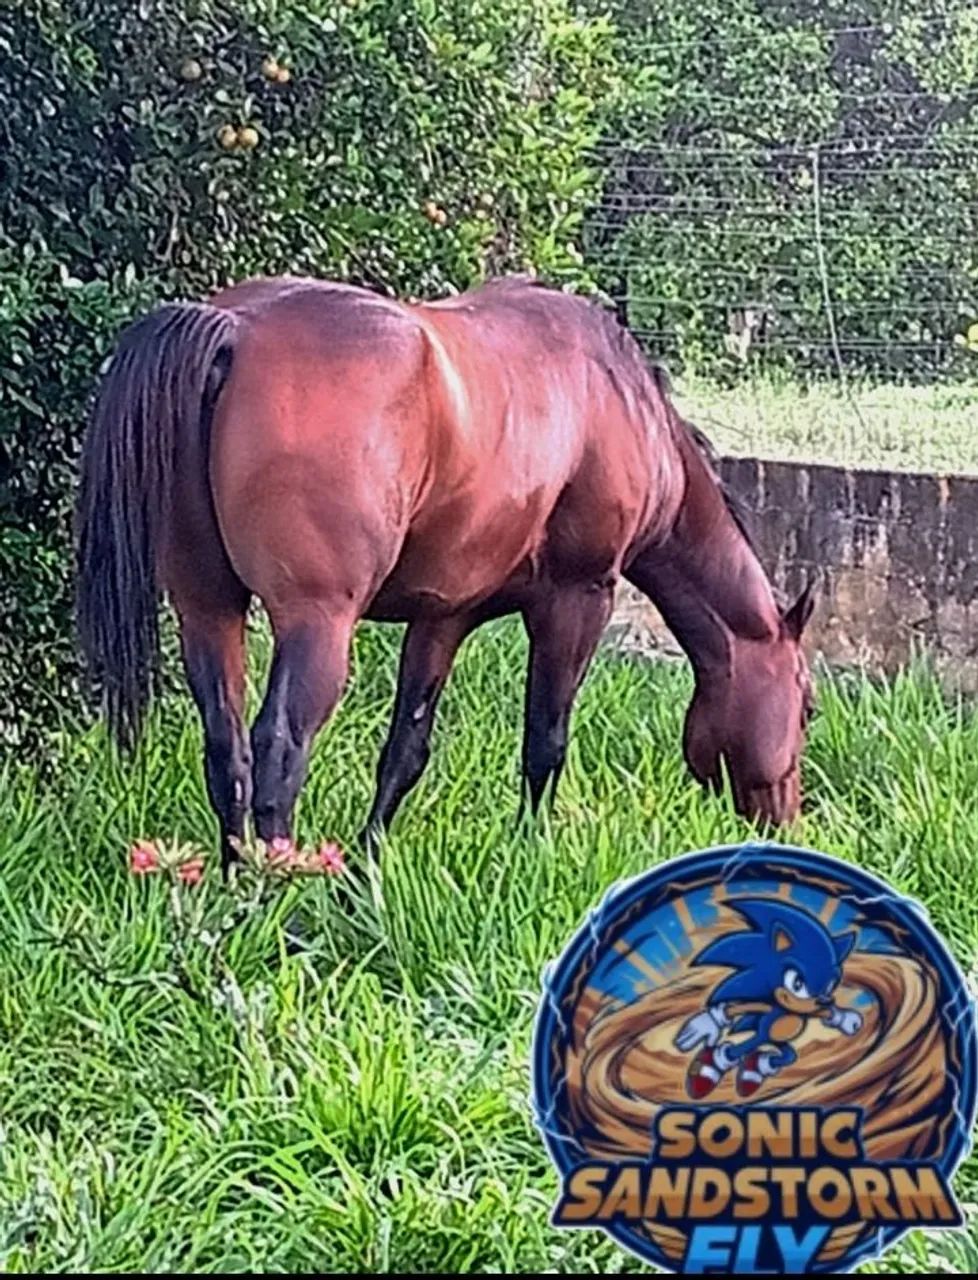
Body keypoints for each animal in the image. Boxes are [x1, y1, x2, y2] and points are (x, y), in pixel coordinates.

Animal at [76, 275, 816, 873]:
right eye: (807, 705)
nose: (785, 822)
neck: (618, 400)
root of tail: (236, 328)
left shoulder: (443, 615)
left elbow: (406, 750)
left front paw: (367, 871)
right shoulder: (579, 598)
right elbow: (545, 741)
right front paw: (530, 849)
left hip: (206, 609)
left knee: (226, 748)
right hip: (317, 622)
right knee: (278, 750)